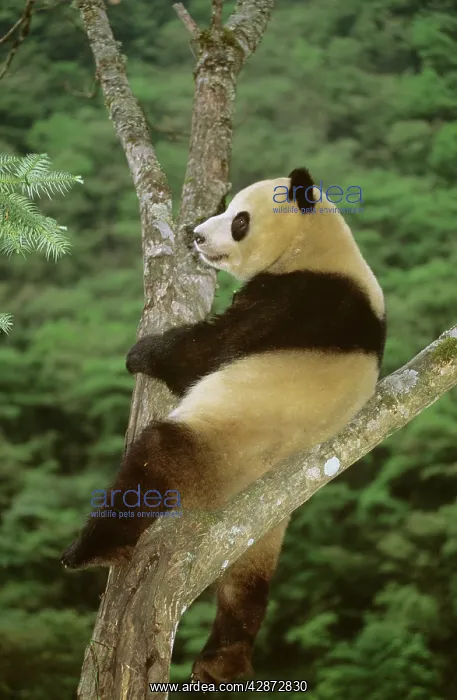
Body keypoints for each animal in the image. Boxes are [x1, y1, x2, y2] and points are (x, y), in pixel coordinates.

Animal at [61, 167, 385, 684]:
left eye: (239, 220)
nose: (195, 236)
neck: (317, 245)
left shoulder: (296, 299)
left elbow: (207, 351)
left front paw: (141, 353)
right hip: (262, 523)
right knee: (247, 582)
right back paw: (223, 661)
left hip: (216, 449)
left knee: (152, 461)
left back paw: (92, 548)